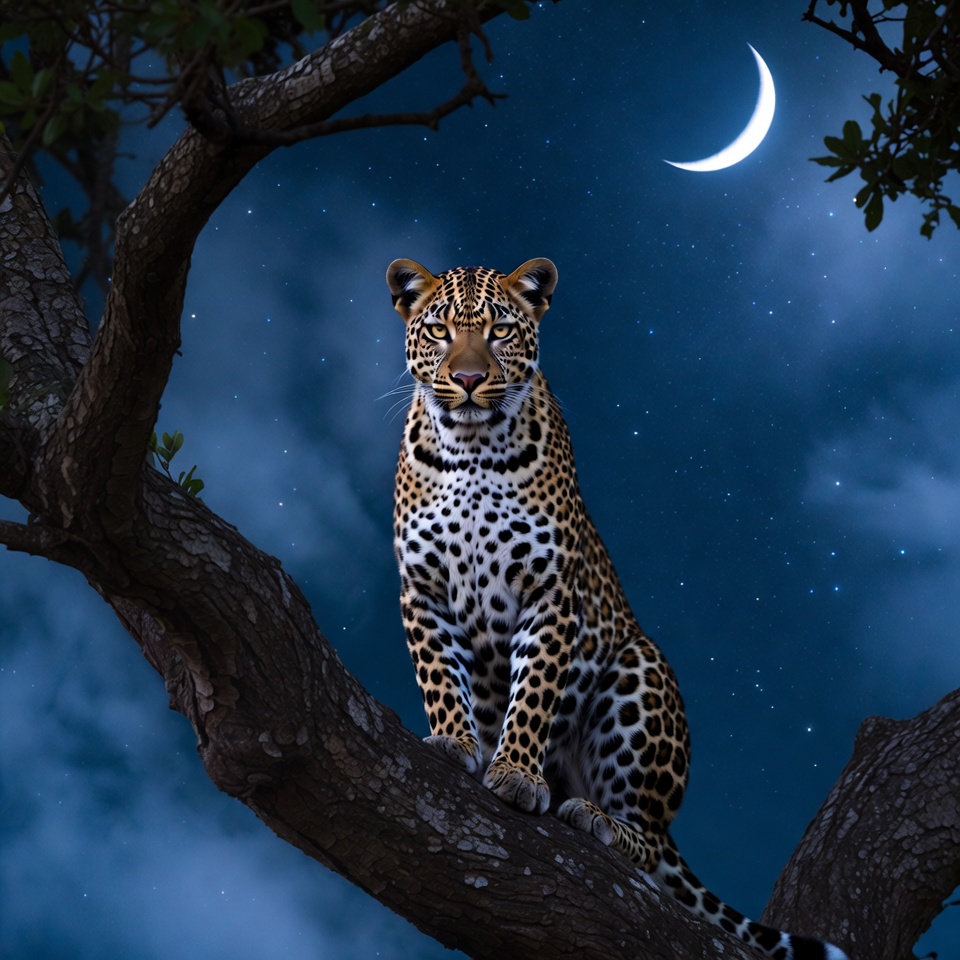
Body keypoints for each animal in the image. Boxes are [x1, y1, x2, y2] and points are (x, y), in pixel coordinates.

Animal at [386, 256, 848, 960]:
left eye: (499, 331)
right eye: (438, 331)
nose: (466, 380)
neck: (470, 449)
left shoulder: (551, 591)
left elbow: (534, 690)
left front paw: (516, 774)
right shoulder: (424, 588)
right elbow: (440, 677)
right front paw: (454, 742)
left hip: (639, 671)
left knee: (649, 848)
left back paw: (595, 817)